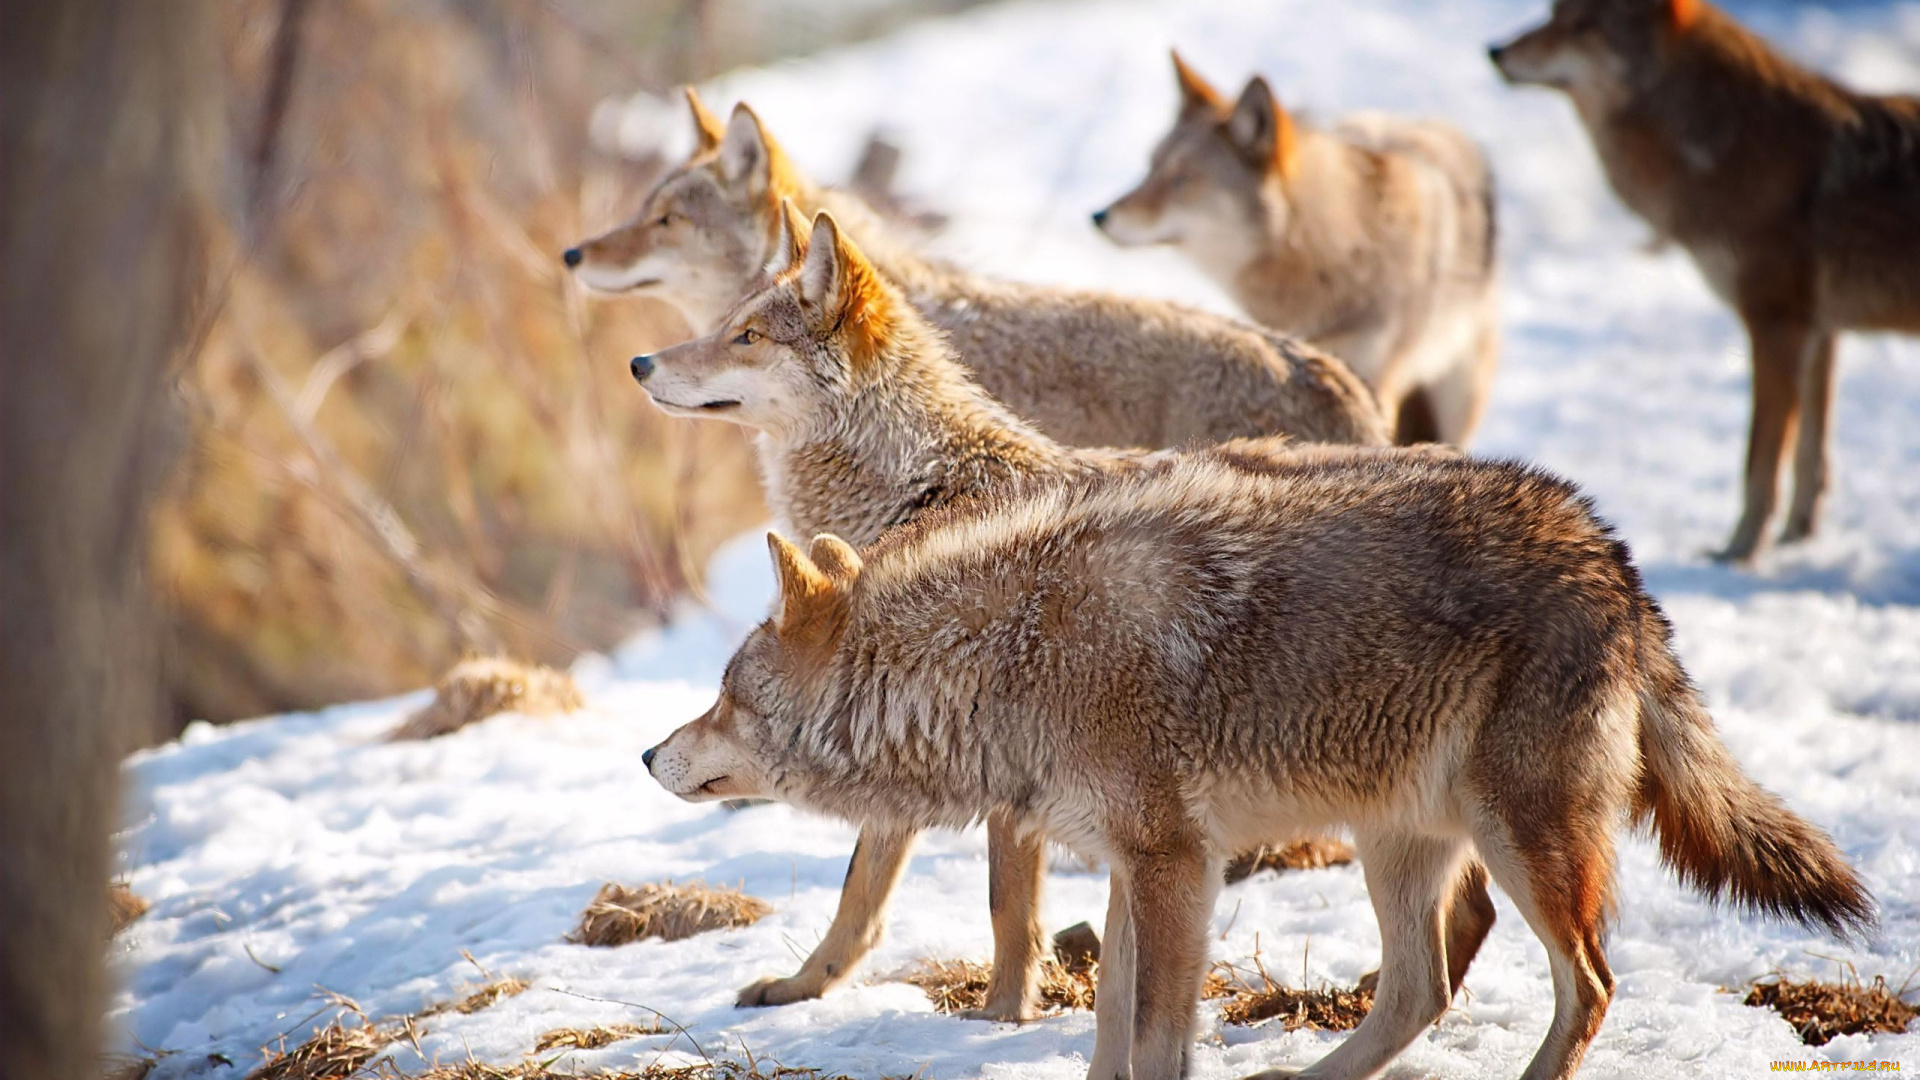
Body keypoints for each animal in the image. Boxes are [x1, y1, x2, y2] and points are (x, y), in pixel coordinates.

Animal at [629, 201, 1497, 1014]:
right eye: (724, 324)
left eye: (746, 336)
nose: (638, 362)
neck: (925, 489)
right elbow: (861, 896)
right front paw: (803, 988)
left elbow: (1003, 908)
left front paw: (1001, 1016)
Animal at [652, 449, 1866, 1076]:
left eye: (723, 694)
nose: (651, 750)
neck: (1012, 654)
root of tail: (1615, 559)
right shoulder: (1141, 869)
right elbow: (1109, 1031)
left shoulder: (1175, 869)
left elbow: (1152, 1042)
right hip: (1398, 843)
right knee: (1420, 990)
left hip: (1520, 844)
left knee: (1590, 987)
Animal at [1489, 2, 1920, 564]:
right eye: (1552, 14)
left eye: (1581, 26)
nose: (1496, 51)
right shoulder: (1820, 332)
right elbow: (1810, 457)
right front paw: (1797, 542)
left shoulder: (1778, 325)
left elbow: (1760, 460)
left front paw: (1740, 552)